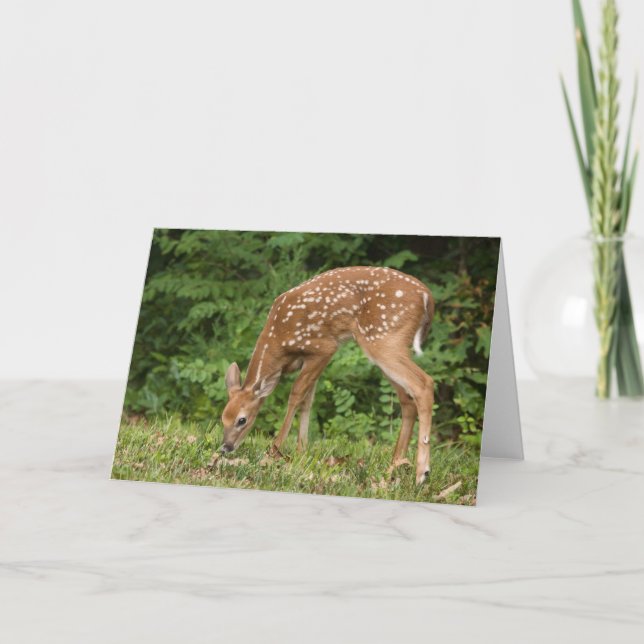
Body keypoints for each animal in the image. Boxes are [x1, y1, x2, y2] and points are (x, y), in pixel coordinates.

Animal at [220, 266, 435, 484]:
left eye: (242, 420)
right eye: (223, 419)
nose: (225, 448)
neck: (280, 340)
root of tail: (426, 295)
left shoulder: (323, 347)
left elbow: (296, 394)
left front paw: (275, 449)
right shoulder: (309, 359)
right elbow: (308, 401)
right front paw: (301, 451)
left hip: (383, 338)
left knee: (424, 383)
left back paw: (421, 472)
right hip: (390, 346)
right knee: (407, 399)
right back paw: (395, 464)